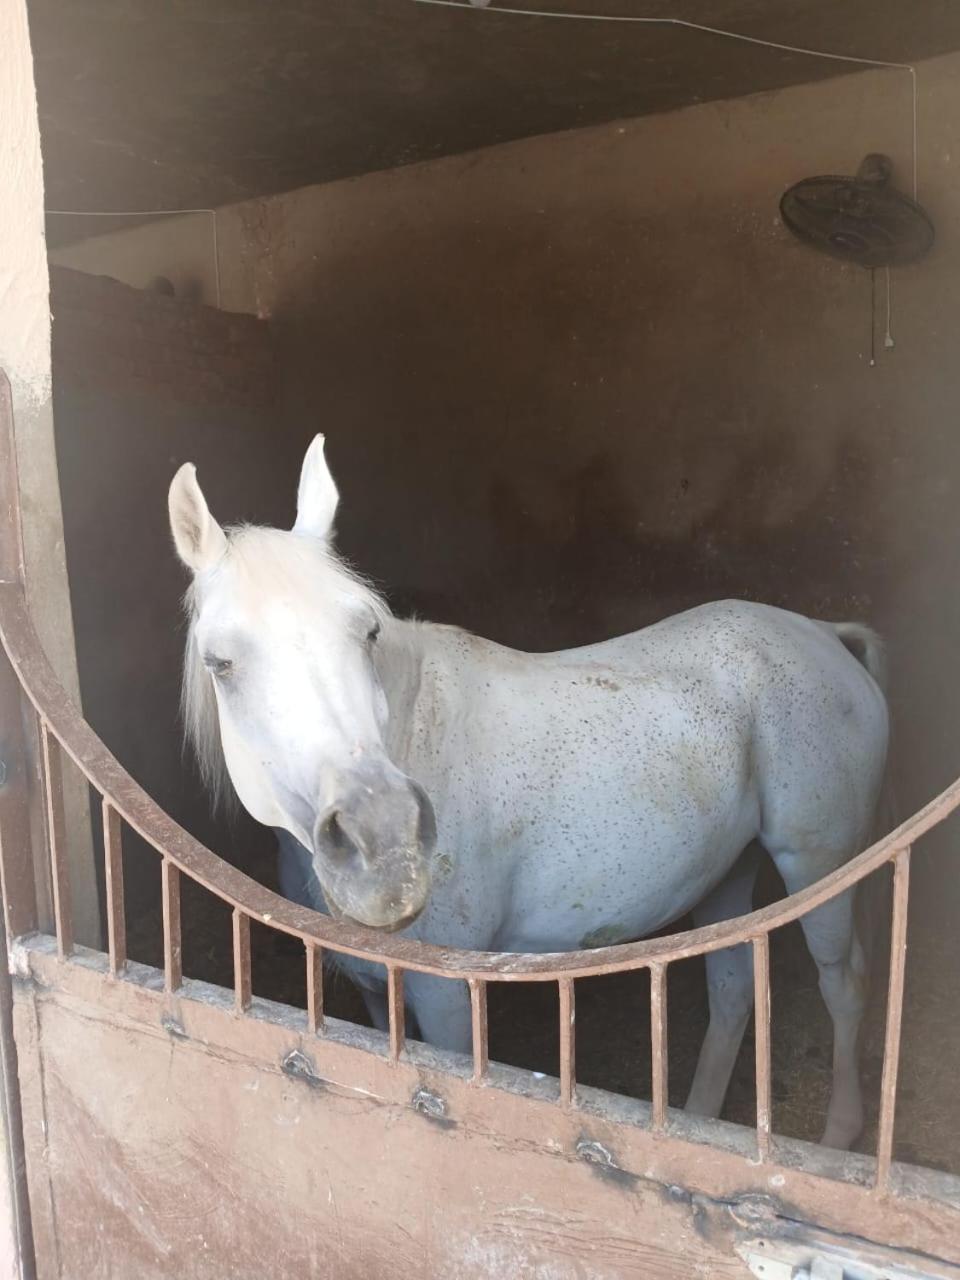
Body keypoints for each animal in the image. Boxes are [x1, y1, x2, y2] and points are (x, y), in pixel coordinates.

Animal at [168, 436, 888, 1149]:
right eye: (219, 662)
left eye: (368, 632)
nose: (387, 845)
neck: (412, 731)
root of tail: (824, 633)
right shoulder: (376, 993)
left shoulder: (445, 997)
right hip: (725, 877)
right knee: (735, 990)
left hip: (817, 865)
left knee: (844, 981)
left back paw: (839, 1133)